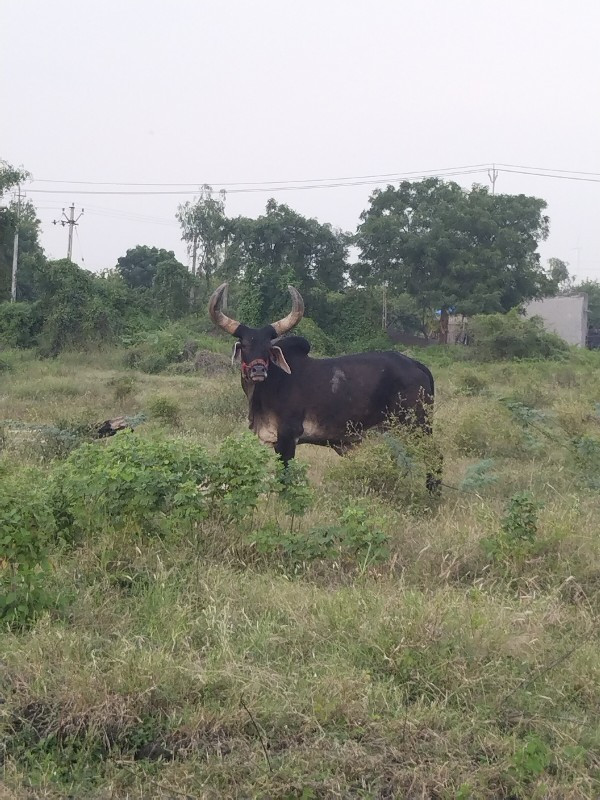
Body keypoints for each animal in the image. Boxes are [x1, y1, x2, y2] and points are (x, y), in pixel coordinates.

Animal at [210, 284, 440, 490]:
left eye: (268, 347)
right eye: (245, 346)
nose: (258, 370)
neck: (268, 388)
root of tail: (416, 365)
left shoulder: (288, 436)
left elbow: (284, 477)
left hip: (417, 425)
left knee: (434, 455)